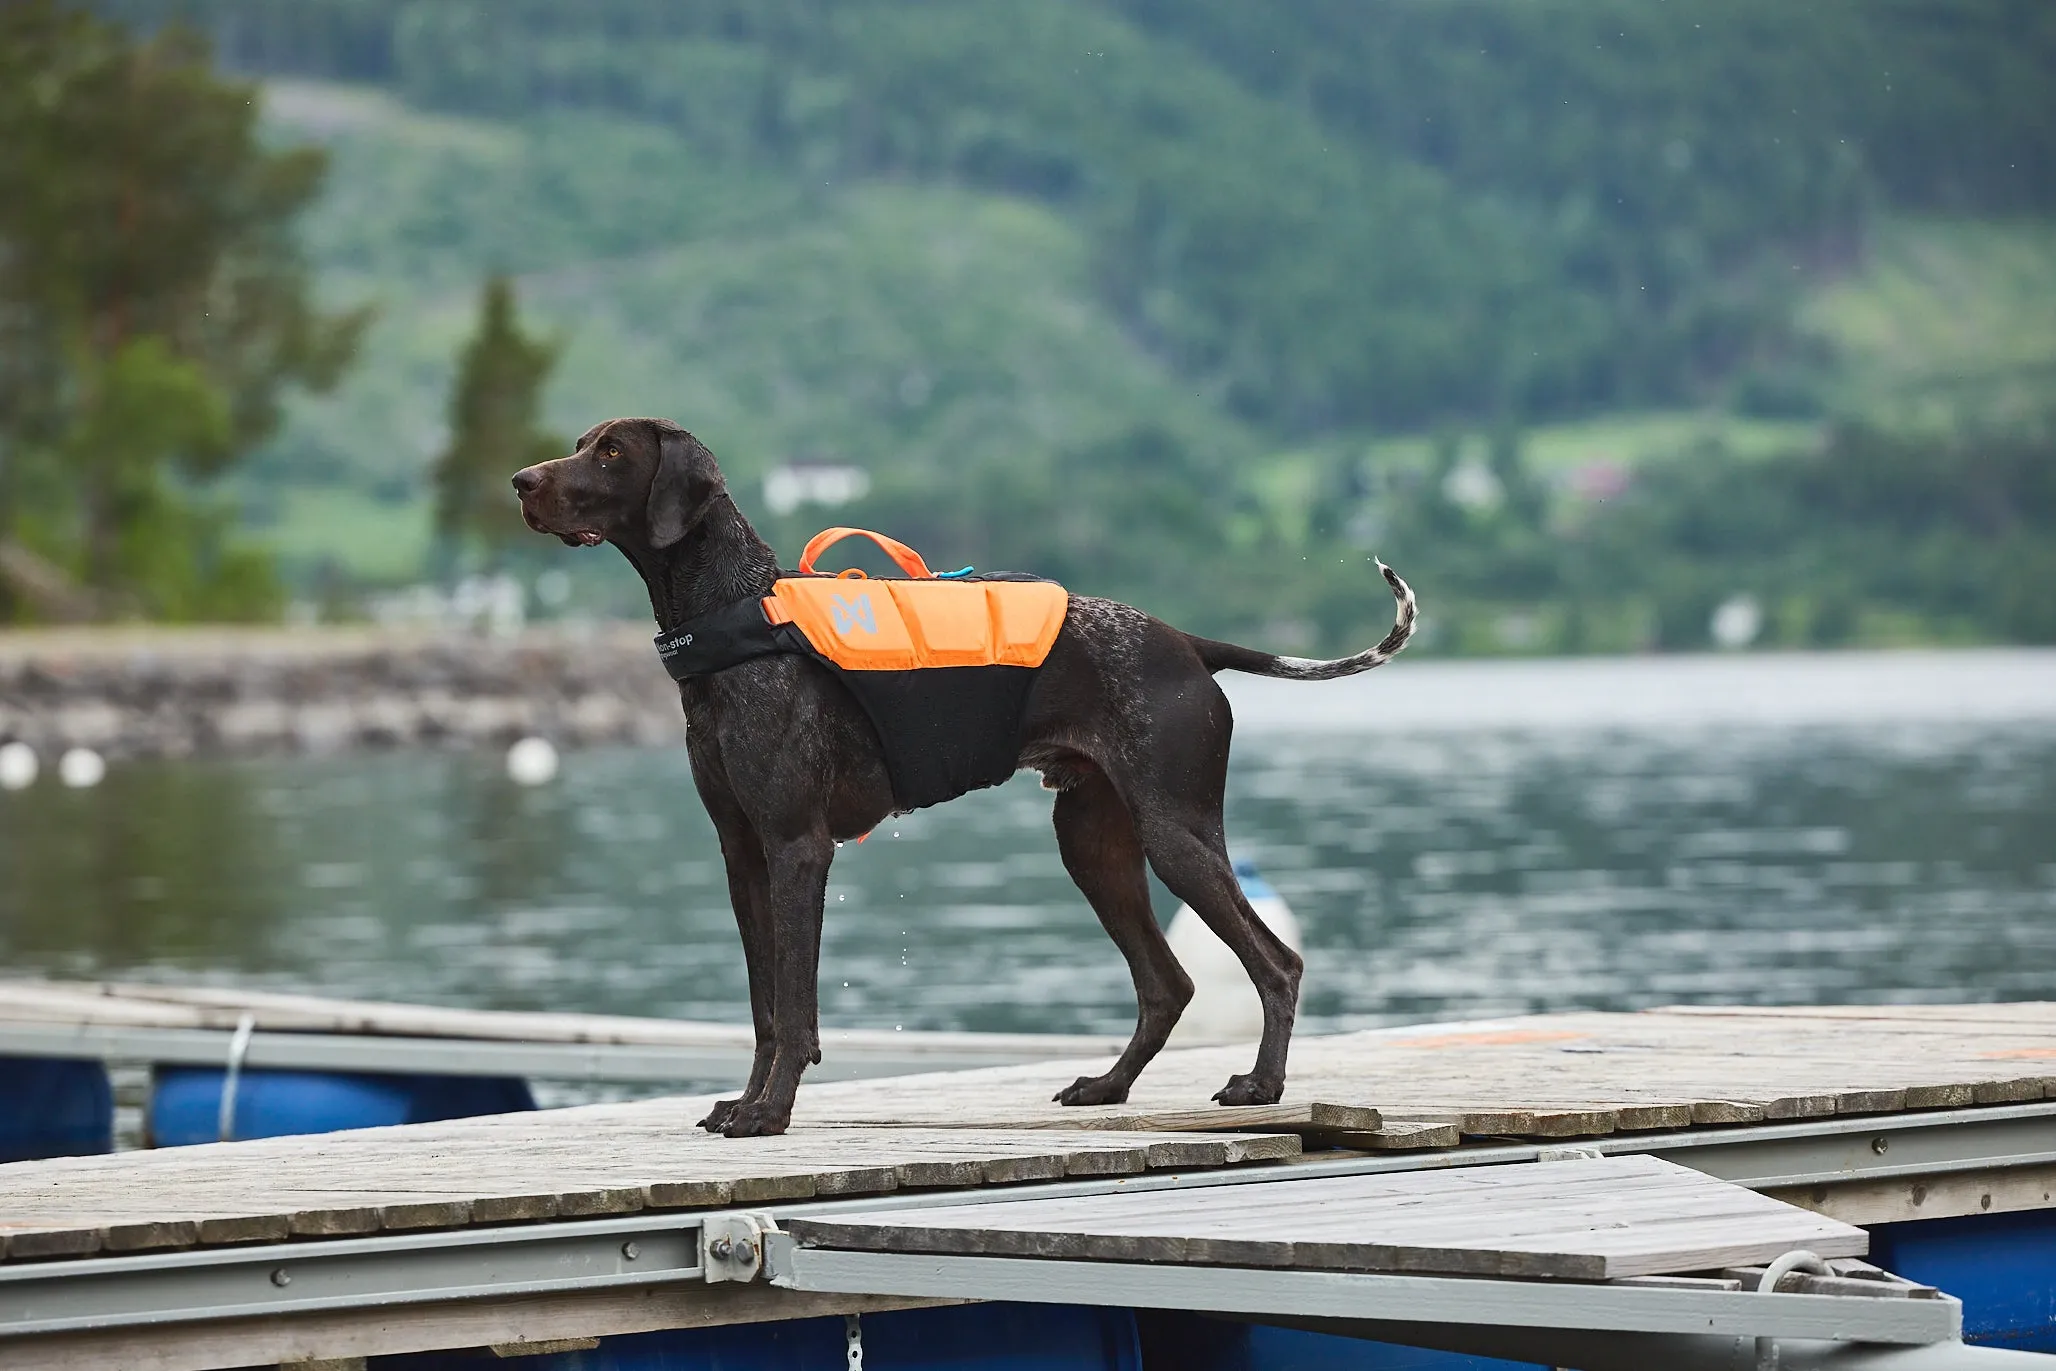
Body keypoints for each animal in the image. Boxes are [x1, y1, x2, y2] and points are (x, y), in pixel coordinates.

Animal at [514, 421, 1414, 1134]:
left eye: (612, 450)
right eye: (584, 440)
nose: (520, 481)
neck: (738, 617)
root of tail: (1187, 642)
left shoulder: (798, 848)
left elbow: (795, 1008)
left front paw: (771, 1112)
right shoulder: (744, 858)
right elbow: (765, 1007)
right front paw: (745, 1102)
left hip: (1176, 835)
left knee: (1276, 963)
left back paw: (1261, 1084)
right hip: (1094, 847)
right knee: (1169, 984)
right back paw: (1108, 1086)